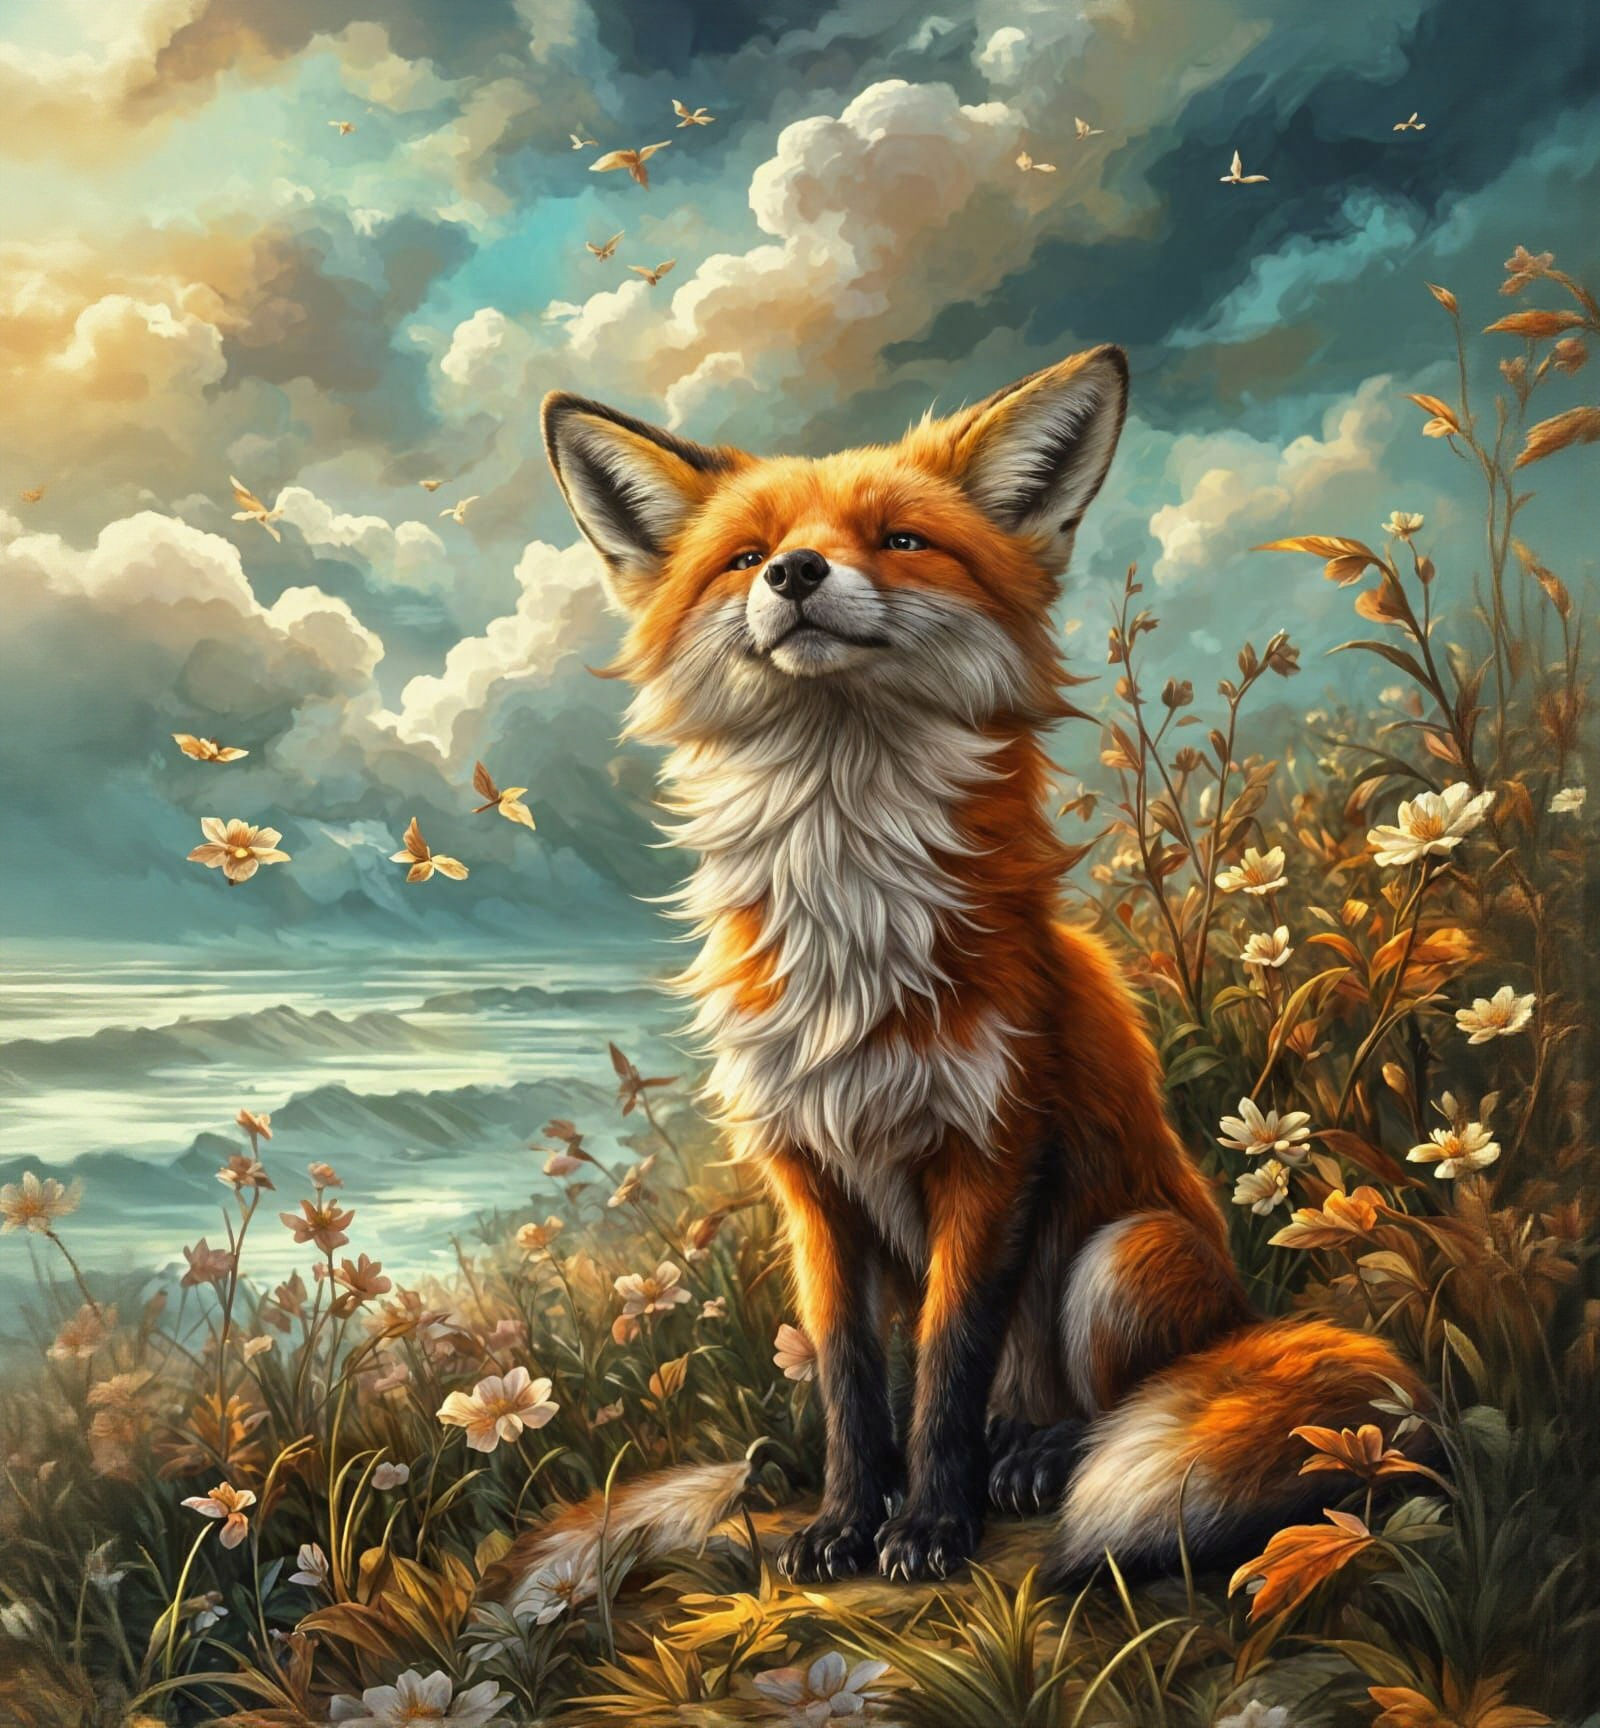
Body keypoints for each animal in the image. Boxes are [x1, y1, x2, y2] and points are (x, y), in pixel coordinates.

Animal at [539, 346, 1425, 1587]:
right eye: (746, 558)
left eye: (901, 539)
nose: (798, 573)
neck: (851, 930)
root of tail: (1249, 1316)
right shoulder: (808, 1182)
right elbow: (854, 1385)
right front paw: (843, 1520)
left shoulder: (989, 1152)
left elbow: (946, 1373)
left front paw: (927, 1526)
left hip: (1121, 1257)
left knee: (1090, 1406)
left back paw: (1036, 1457)